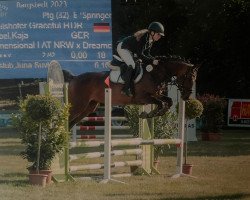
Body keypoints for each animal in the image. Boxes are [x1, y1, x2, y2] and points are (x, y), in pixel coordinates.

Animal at [62, 56, 197, 128]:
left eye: (195, 79)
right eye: (189, 78)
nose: (187, 96)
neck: (155, 74)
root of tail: (74, 78)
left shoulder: (156, 94)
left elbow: (168, 101)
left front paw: (156, 113)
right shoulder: (142, 98)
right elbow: (159, 103)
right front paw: (148, 114)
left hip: (89, 107)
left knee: (71, 123)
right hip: (78, 105)